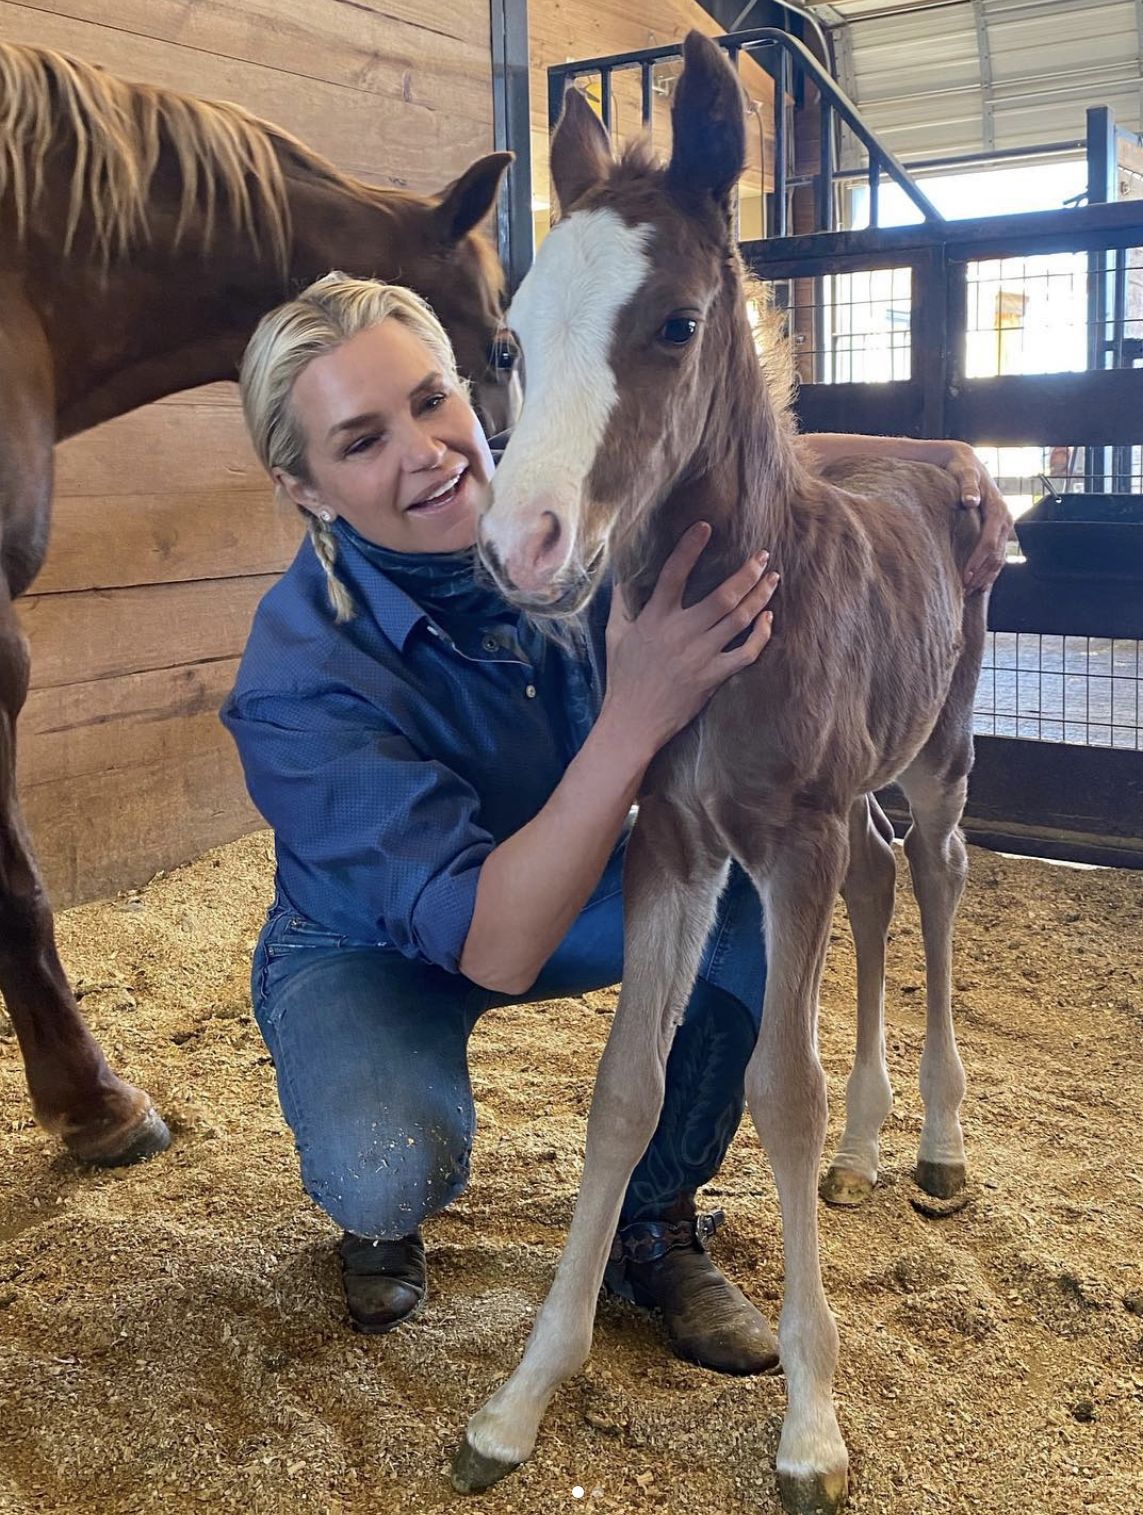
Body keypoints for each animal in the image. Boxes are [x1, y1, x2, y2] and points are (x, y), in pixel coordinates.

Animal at [457, 29, 982, 1515]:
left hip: (933, 751)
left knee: (931, 876)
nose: (521, 547)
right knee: (880, 885)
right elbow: (624, 1088)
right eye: (510, 338)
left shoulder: (786, 841)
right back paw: (868, 1154)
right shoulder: (674, 840)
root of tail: (938, 457)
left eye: (678, 324)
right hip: (851, 798)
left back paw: (932, 1148)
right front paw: (520, 1397)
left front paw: (811, 1424)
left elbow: (776, 1093)